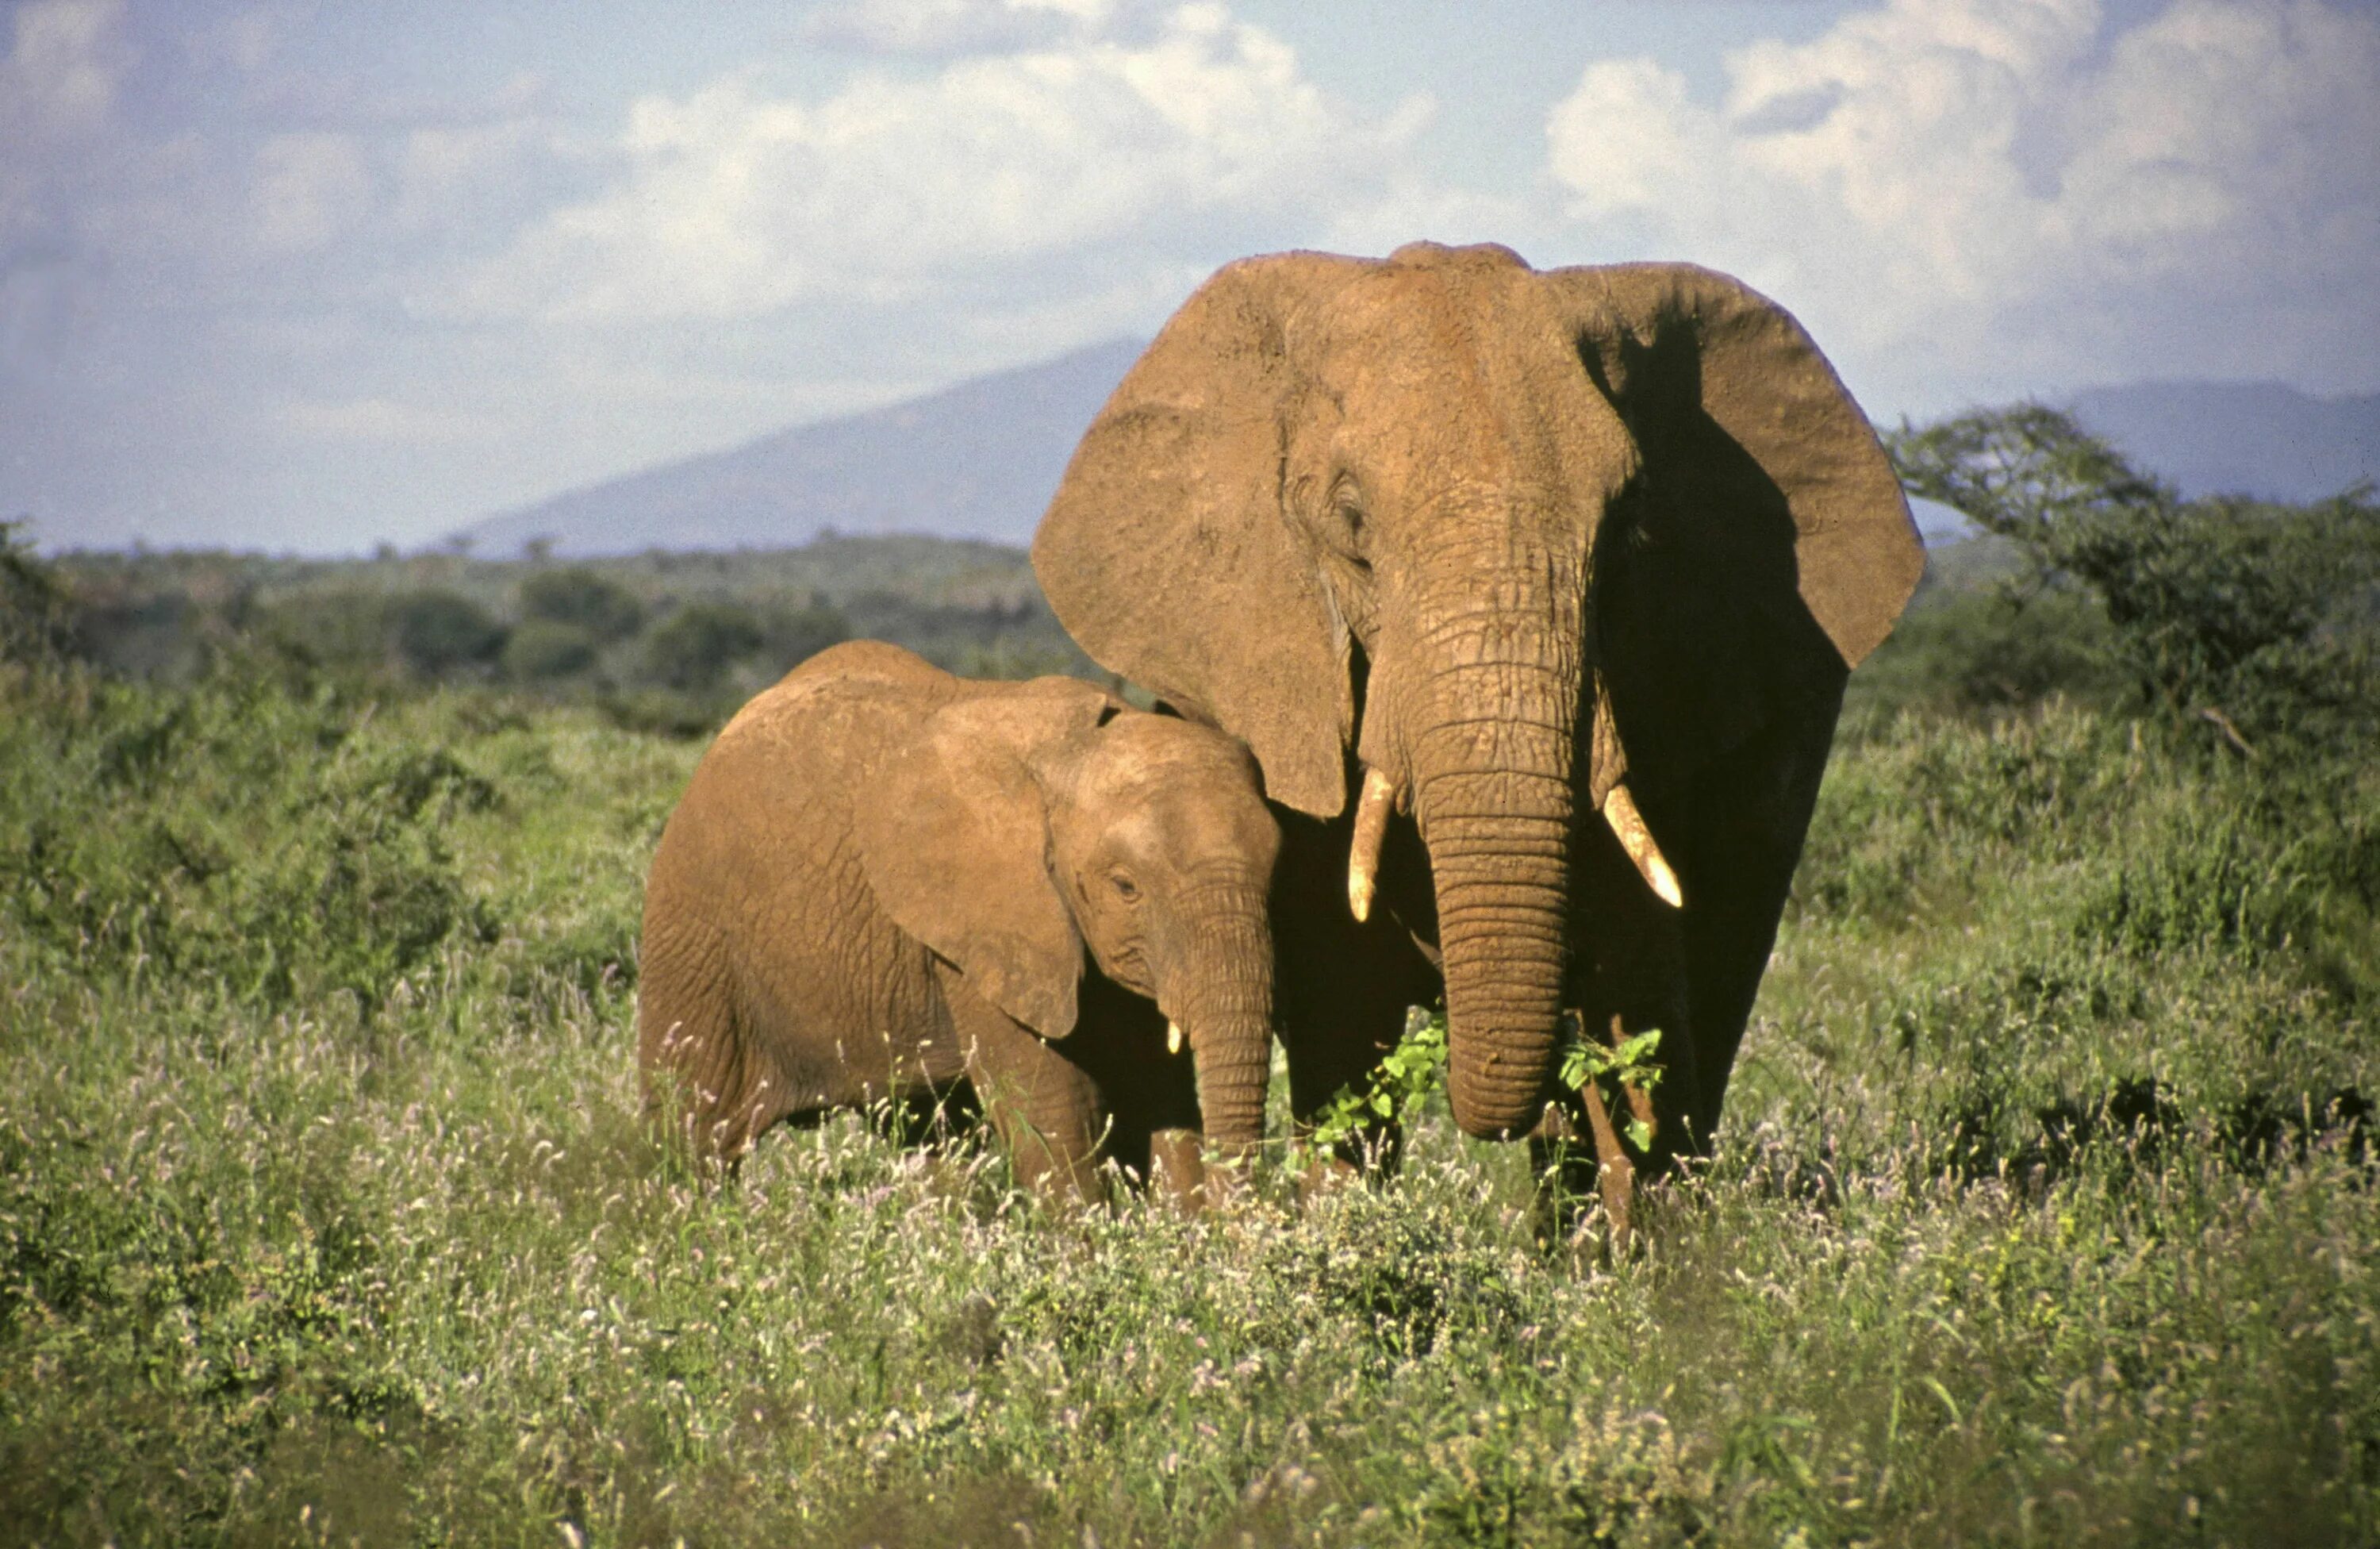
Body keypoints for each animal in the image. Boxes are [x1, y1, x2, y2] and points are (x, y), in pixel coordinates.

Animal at [628, 637, 1266, 1204]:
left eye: (1277, 869)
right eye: (1126, 887)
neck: (1074, 753)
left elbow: (1157, 1089)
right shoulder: (987, 923)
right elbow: (1056, 1106)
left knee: (933, 1134)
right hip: (695, 938)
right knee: (696, 1133)